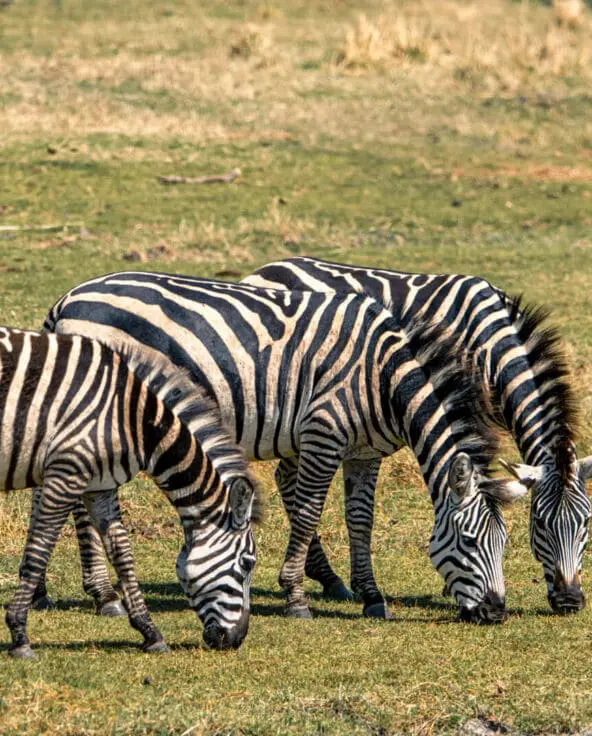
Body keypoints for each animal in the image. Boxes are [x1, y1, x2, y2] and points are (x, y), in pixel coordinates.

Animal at [0, 326, 259, 658]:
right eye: (247, 563)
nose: (236, 640)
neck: (134, 419)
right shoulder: (66, 473)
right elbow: (39, 551)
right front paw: (19, 634)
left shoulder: (100, 486)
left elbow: (122, 553)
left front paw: (150, 632)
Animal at [41, 271, 530, 623]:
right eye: (469, 540)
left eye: (505, 542)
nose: (496, 613)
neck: (383, 378)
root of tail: (68, 299)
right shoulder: (322, 433)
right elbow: (310, 512)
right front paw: (296, 596)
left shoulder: (364, 452)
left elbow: (361, 519)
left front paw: (371, 595)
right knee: (79, 504)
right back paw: (104, 595)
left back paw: (59, 593)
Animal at [242, 256, 592, 613]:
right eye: (541, 523)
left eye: (586, 523)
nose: (570, 601)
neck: (490, 345)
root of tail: (269, 267)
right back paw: (324, 576)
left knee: (285, 475)